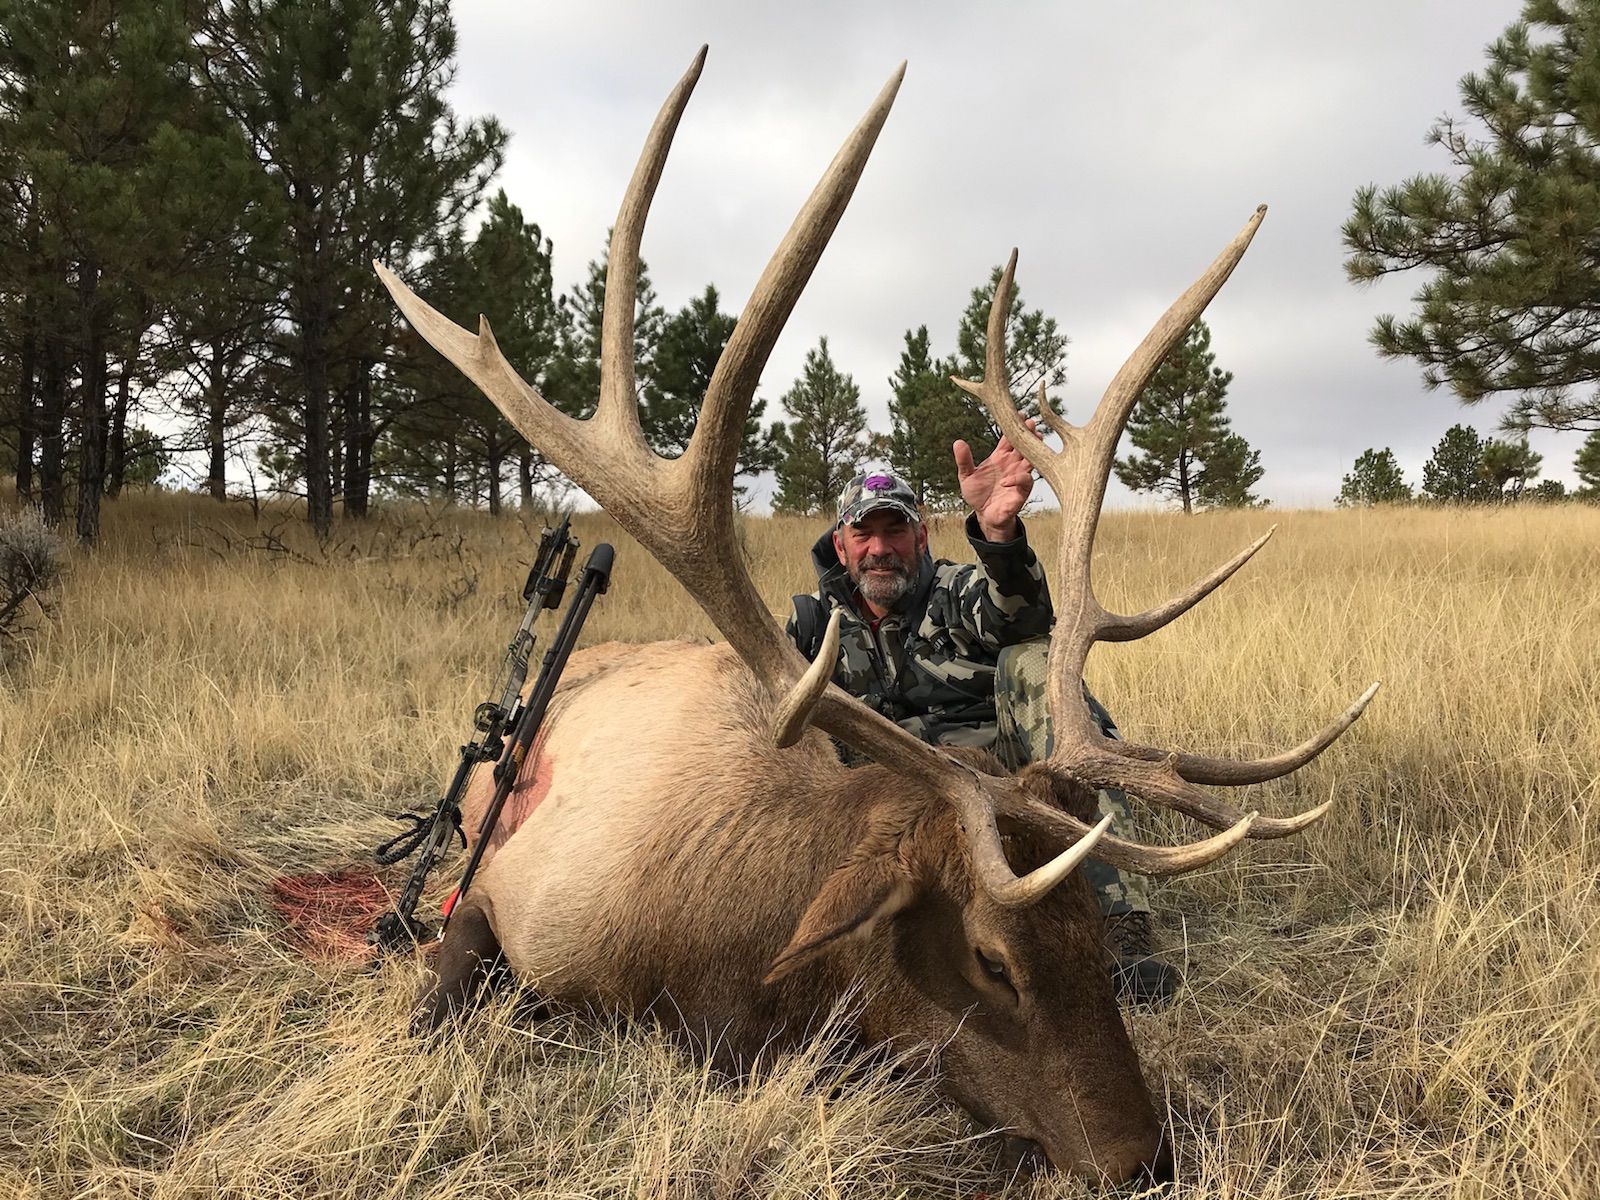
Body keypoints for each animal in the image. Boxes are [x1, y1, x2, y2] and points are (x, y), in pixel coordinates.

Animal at [373, 48, 1378, 1186]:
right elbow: (439, 996)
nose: (1143, 1160)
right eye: (992, 957)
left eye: (1092, 929)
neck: (719, 967)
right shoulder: (503, 896)